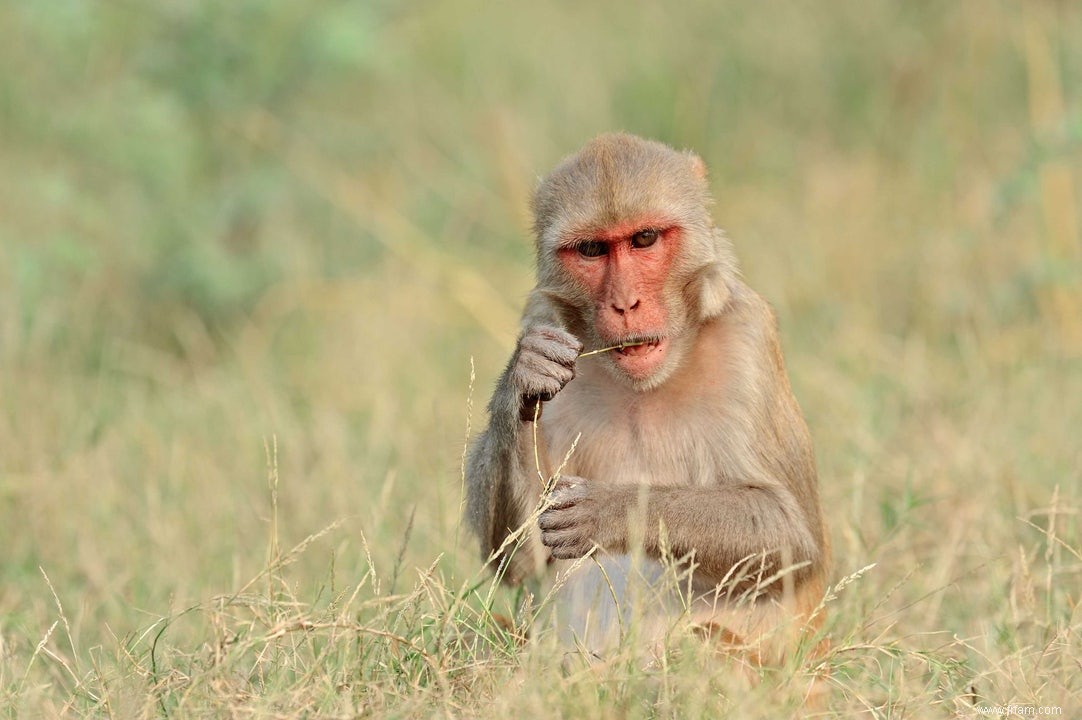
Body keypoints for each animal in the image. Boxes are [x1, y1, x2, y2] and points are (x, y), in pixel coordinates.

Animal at [465, 132, 826, 658]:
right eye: (592, 249)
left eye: (644, 239)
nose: (625, 304)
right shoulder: (542, 318)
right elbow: (520, 560)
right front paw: (523, 377)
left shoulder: (748, 339)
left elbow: (792, 538)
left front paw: (614, 511)